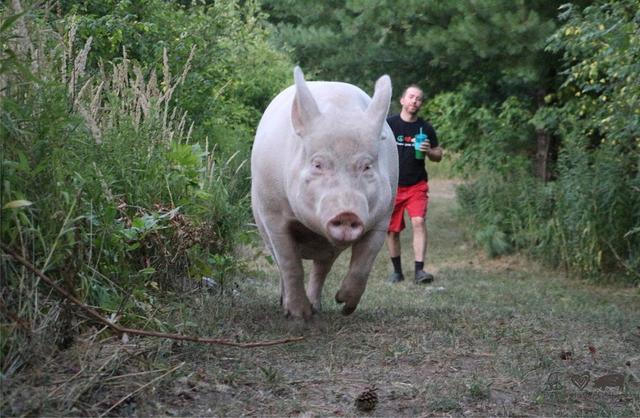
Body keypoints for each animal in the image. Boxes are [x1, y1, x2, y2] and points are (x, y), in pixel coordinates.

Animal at [251, 67, 398, 318]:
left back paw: (317, 306)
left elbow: (364, 263)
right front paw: (299, 315)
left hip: (329, 250)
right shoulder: (272, 214)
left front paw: (345, 306)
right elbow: (290, 264)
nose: (348, 213)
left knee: (321, 269)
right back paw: (286, 305)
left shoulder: (383, 216)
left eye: (367, 166)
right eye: (318, 164)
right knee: (281, 264)